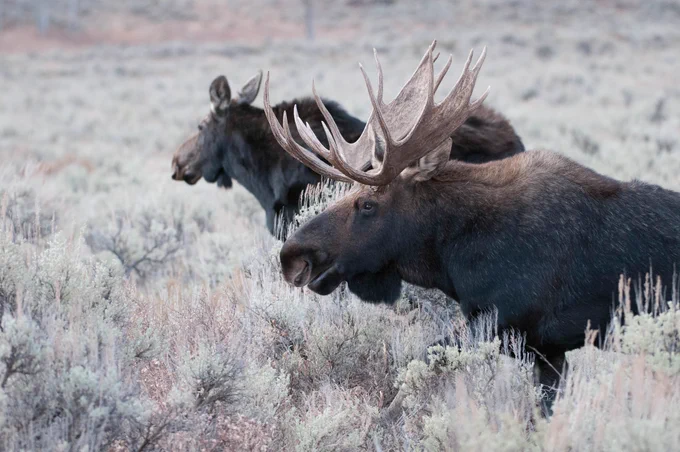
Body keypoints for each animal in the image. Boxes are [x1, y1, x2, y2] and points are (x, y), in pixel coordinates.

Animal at [263, 41, 680, 415]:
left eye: (367, 204)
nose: (292, 255)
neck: (453, 253)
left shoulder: (505, 323)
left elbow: (424, 362)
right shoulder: (547, 350)